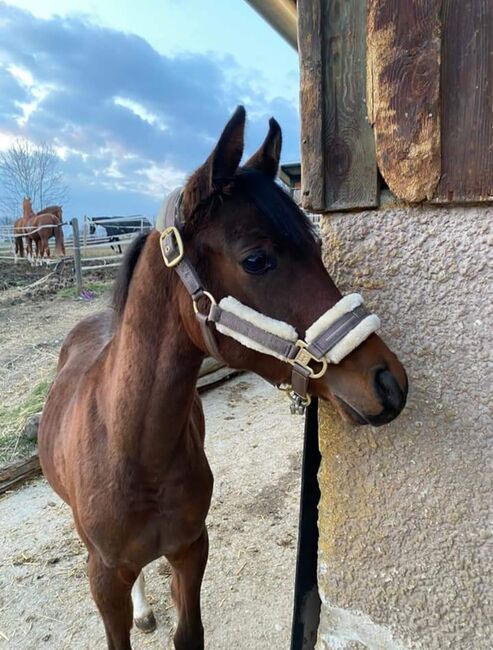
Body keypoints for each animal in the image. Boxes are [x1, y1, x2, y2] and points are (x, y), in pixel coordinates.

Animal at [39, 107, 408, 648]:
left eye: (317, 245)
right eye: (256, 260)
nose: (389, 383)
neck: (134, 453)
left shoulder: (192, 550)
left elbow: (189, 633)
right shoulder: (103, 577)